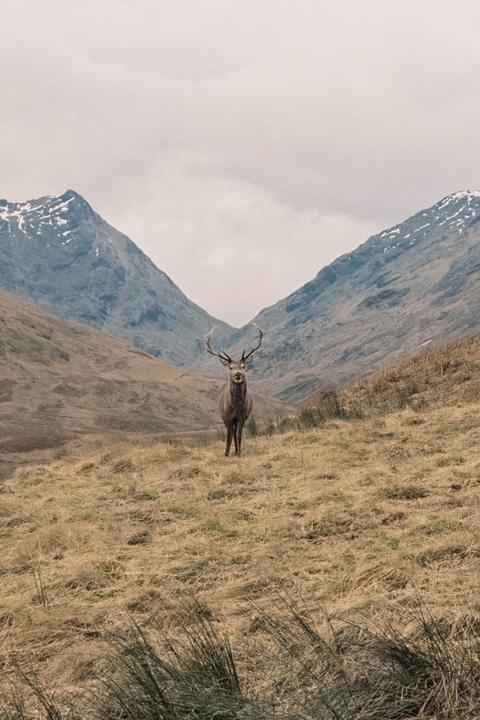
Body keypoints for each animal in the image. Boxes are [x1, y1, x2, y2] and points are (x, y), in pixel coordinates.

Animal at [205, 324, 263, 457]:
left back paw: (236, 450)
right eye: (230, 367)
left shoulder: (242, 417)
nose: (237, 375)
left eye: (243, 366)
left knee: (235, 433)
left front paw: (239, 452)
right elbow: (228, 436)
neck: (236, 406)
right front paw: (226, 453)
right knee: (231, 433)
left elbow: (239, 436)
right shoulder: (227, 417)